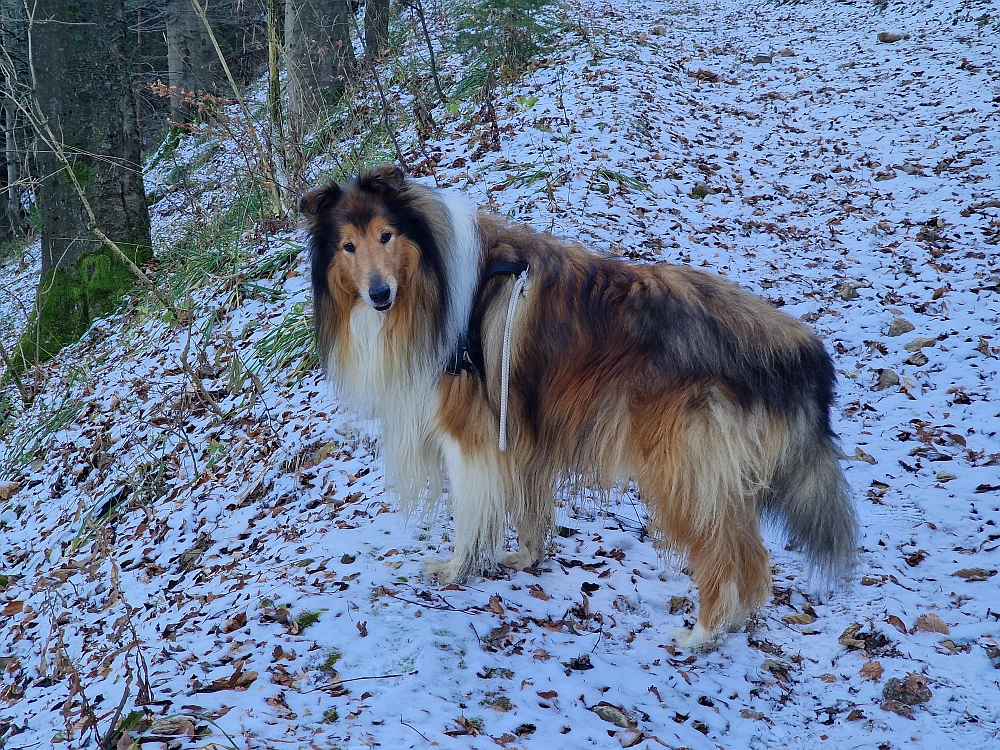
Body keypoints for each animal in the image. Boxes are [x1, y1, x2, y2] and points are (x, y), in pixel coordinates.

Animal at [300, 166, 856, 652]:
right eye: (348, 246)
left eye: (386, 235)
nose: (379, 294)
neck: (436, 280)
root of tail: (792, 347)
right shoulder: (516, 435)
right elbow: (527, 509)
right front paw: (524, 559)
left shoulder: (470, 438)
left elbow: (470, 513)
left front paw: (458, 570)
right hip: (717, 478)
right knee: (752, 556)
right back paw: (734, 625)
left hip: (678, 470)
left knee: (721, 554)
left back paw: (701, 634)